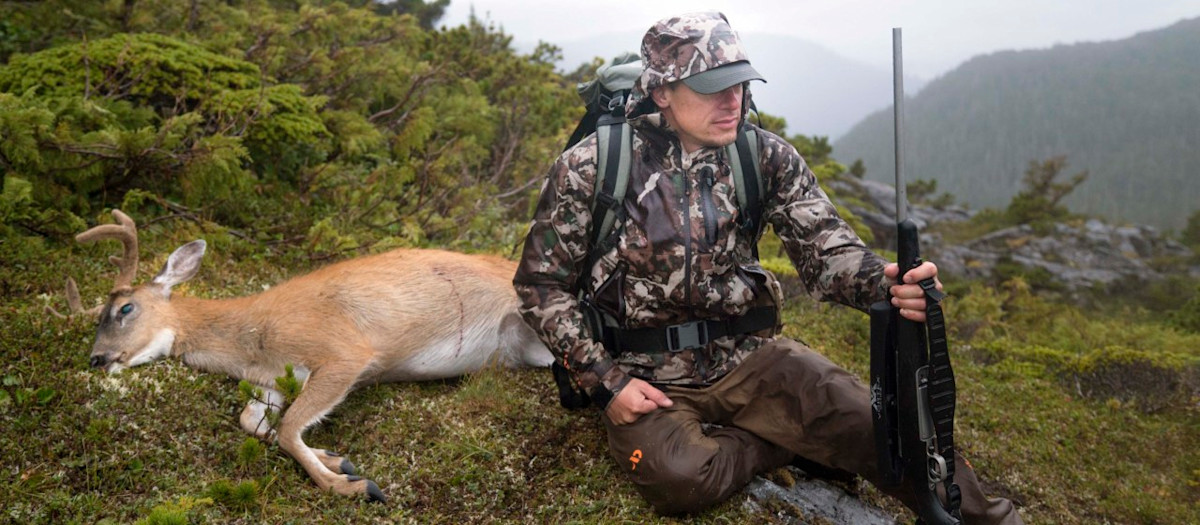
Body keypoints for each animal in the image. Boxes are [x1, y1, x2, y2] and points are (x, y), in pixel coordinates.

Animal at [62, 209, 554, 502]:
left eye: (125, 309)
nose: (97, 359)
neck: (251, 340)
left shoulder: (344, 352)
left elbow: (287, 430)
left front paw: (353, 486)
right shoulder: (270, 383)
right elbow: (254, 422)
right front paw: (338, 460)